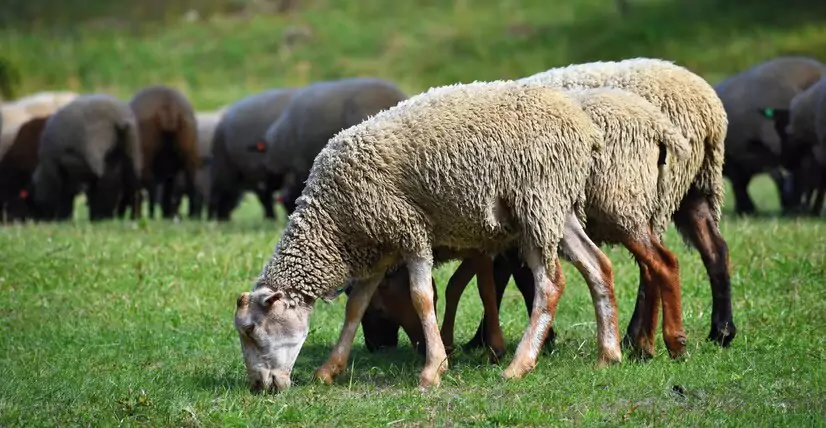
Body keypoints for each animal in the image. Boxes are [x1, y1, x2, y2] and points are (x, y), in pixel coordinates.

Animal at [127, 85, 199, 220]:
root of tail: (167, 104)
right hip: (189, 152)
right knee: (190, 184)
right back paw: (190, 215)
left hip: (146, 156)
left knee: (148, 185)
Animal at [520, 57, 736, 350]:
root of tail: (709, 109)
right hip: (694, 189)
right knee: (714, 250)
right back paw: (721, 331)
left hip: (642, 196)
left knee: (652, 266)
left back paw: (638, 340)